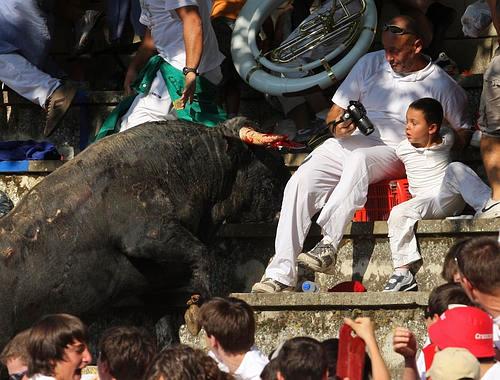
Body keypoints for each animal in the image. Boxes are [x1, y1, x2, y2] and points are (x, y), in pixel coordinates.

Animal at [0, 118, 290, 344]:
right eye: (269, 158)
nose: (289, 180)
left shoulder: (156, 279)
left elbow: (163, 318)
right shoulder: (147, 235)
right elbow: (202, 254)